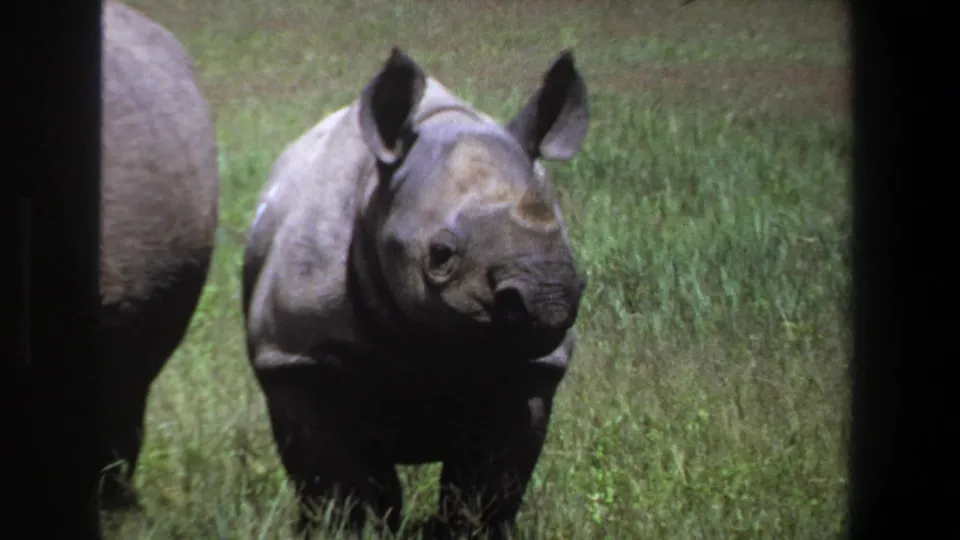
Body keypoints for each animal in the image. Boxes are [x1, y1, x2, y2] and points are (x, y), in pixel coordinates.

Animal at [242, 48, 588, 538]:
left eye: (562, 237)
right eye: (440, 255)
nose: (547, 298)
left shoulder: (531, 364)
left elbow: (489, 483)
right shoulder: (296, 357)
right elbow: (335, 481)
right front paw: (349, 530)